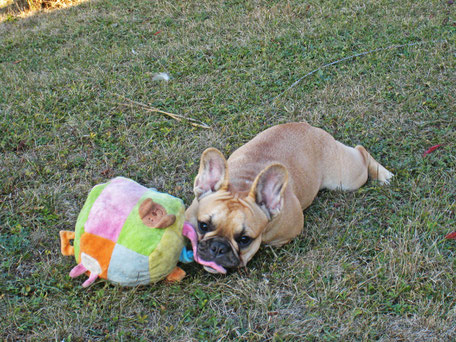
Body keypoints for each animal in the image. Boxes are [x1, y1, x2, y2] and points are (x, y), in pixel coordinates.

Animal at [183, 122, 394, 272]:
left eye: (244, 239)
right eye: (203, 225)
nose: (218, 248)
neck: (243, 184)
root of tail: (307, 127)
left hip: (346, 177)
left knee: (361, 151)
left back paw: (383, 175)